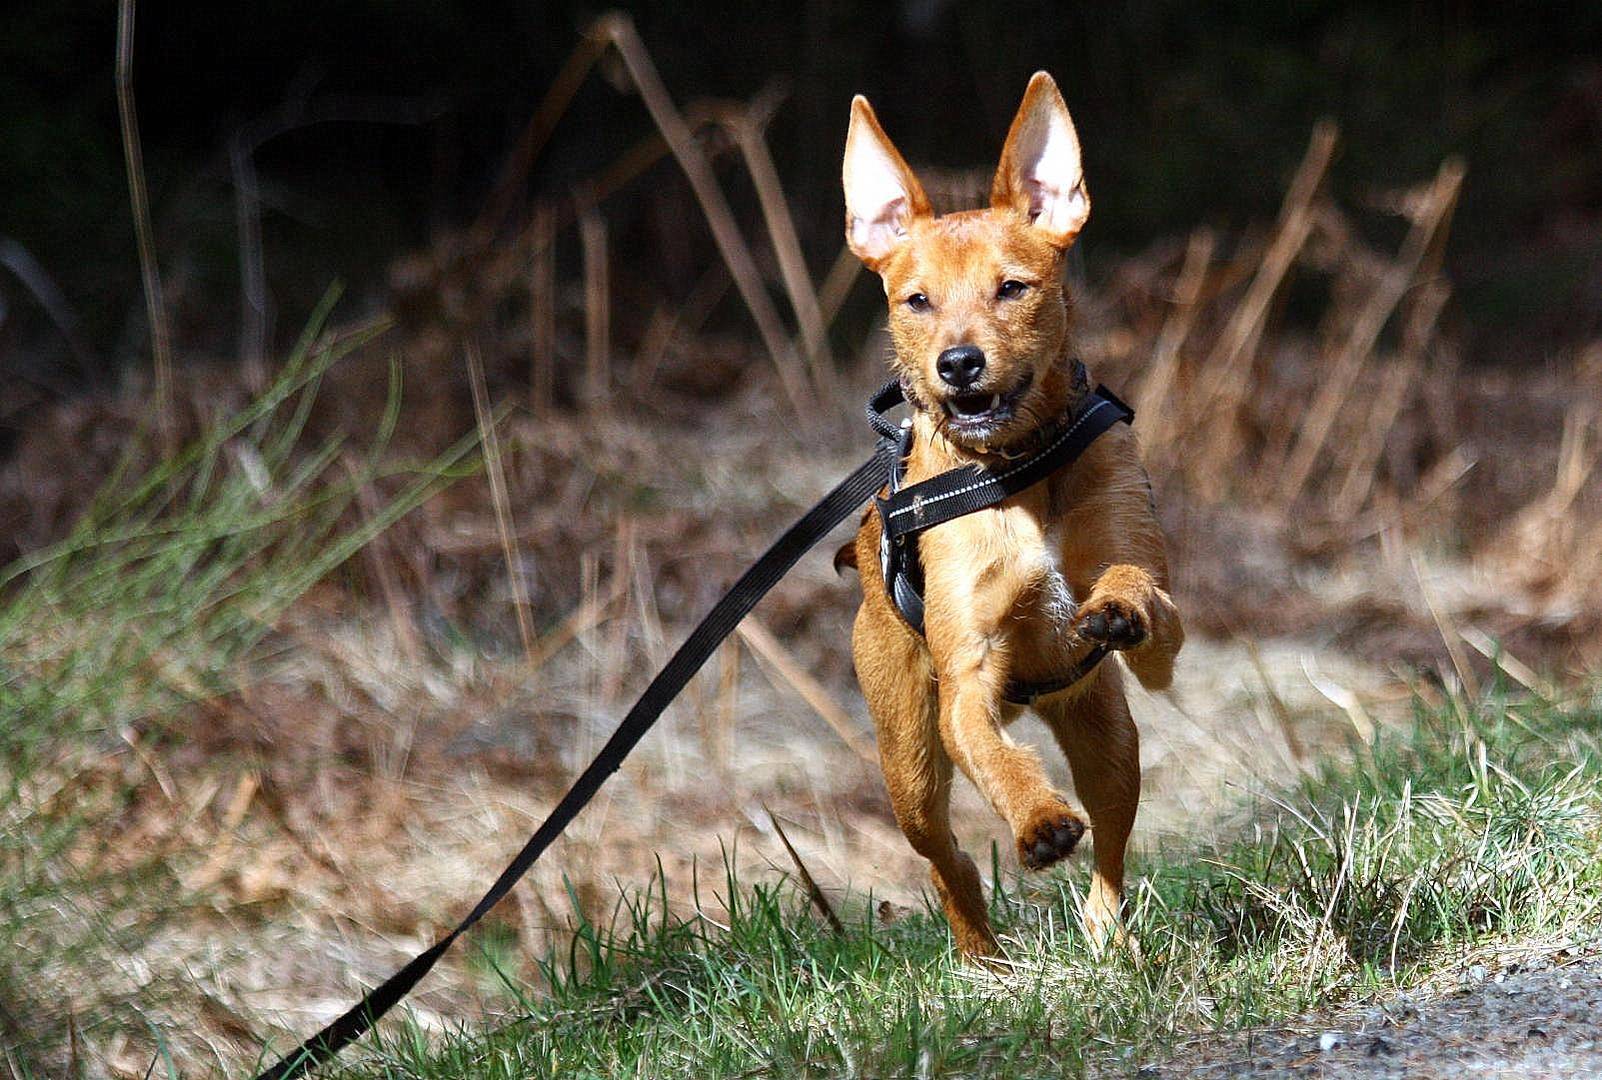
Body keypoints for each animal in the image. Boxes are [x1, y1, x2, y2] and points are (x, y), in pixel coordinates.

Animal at [839, 71, 1191, 955]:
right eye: (916, 300)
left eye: (1012, 287)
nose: (959, 363)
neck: (1016, 475)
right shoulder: (966, 682)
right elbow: (998, 763)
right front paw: (1037, 823)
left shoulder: (1162, 629)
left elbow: (1138, 587)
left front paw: (1116, 604)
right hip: (909, 760)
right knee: (948, 861)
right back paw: (983, 957)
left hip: (1108, 735)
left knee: (1111, 845)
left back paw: (1105, 932)